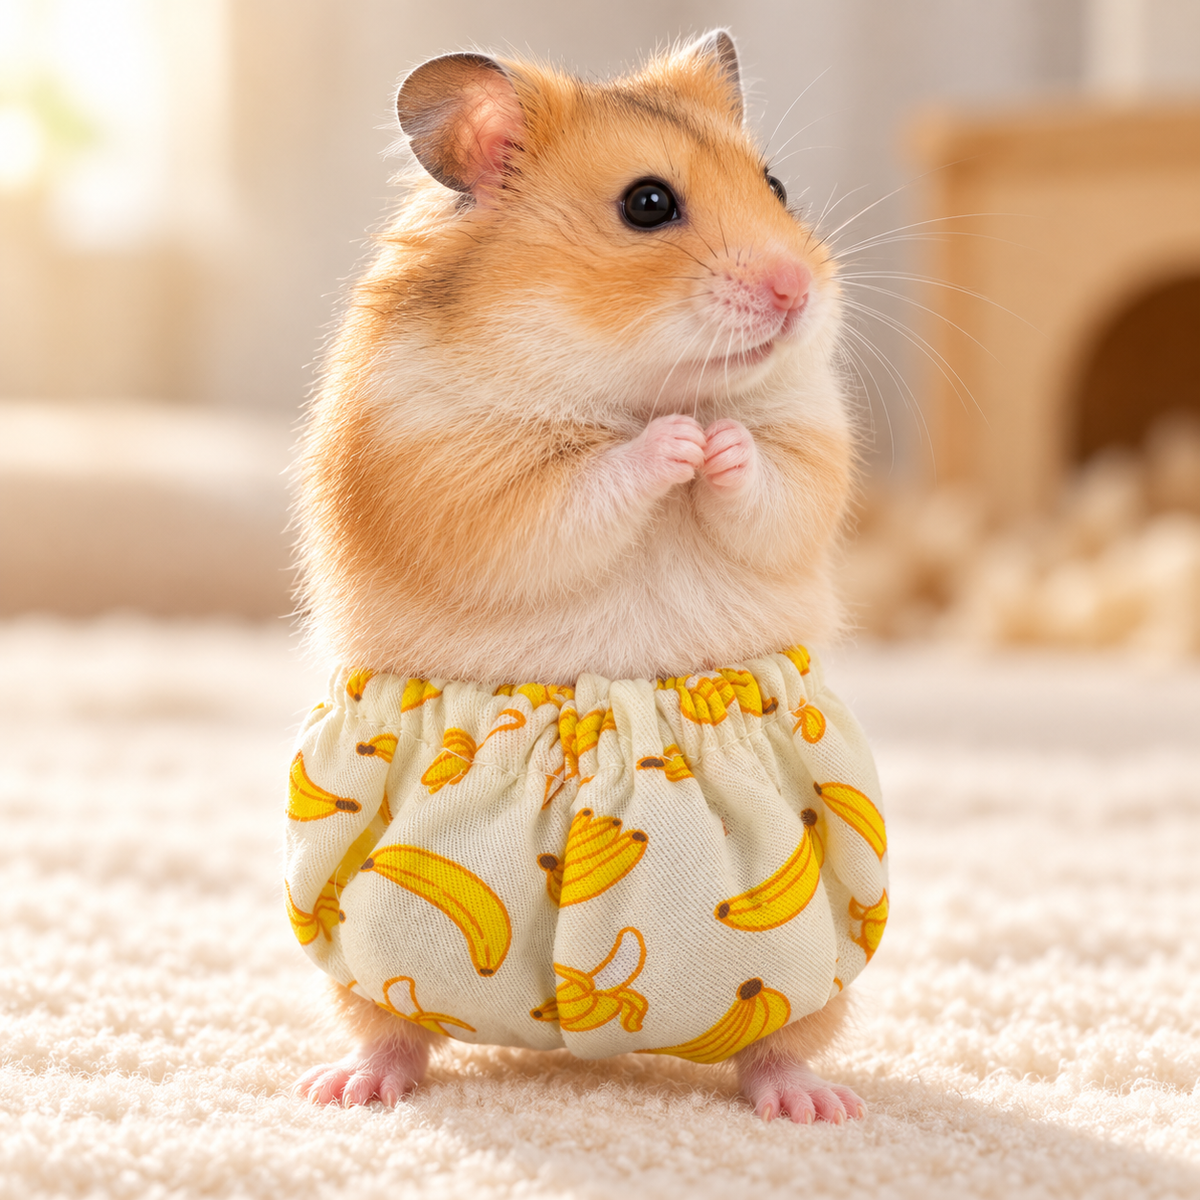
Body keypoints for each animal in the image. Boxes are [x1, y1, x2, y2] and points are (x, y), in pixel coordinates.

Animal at [294, 31, 865, 1125]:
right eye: (647, 204)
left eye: (775, 185)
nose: (797, 291)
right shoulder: (468, 487)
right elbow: (586, 490)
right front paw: (680, 443)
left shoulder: (811, 461)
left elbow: (766, 486)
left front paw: (717, 443)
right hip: (360, 931)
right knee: (390, 1021)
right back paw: (349, 1087)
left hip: (811, 947)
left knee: (778, 1039)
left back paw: (815, 1106)